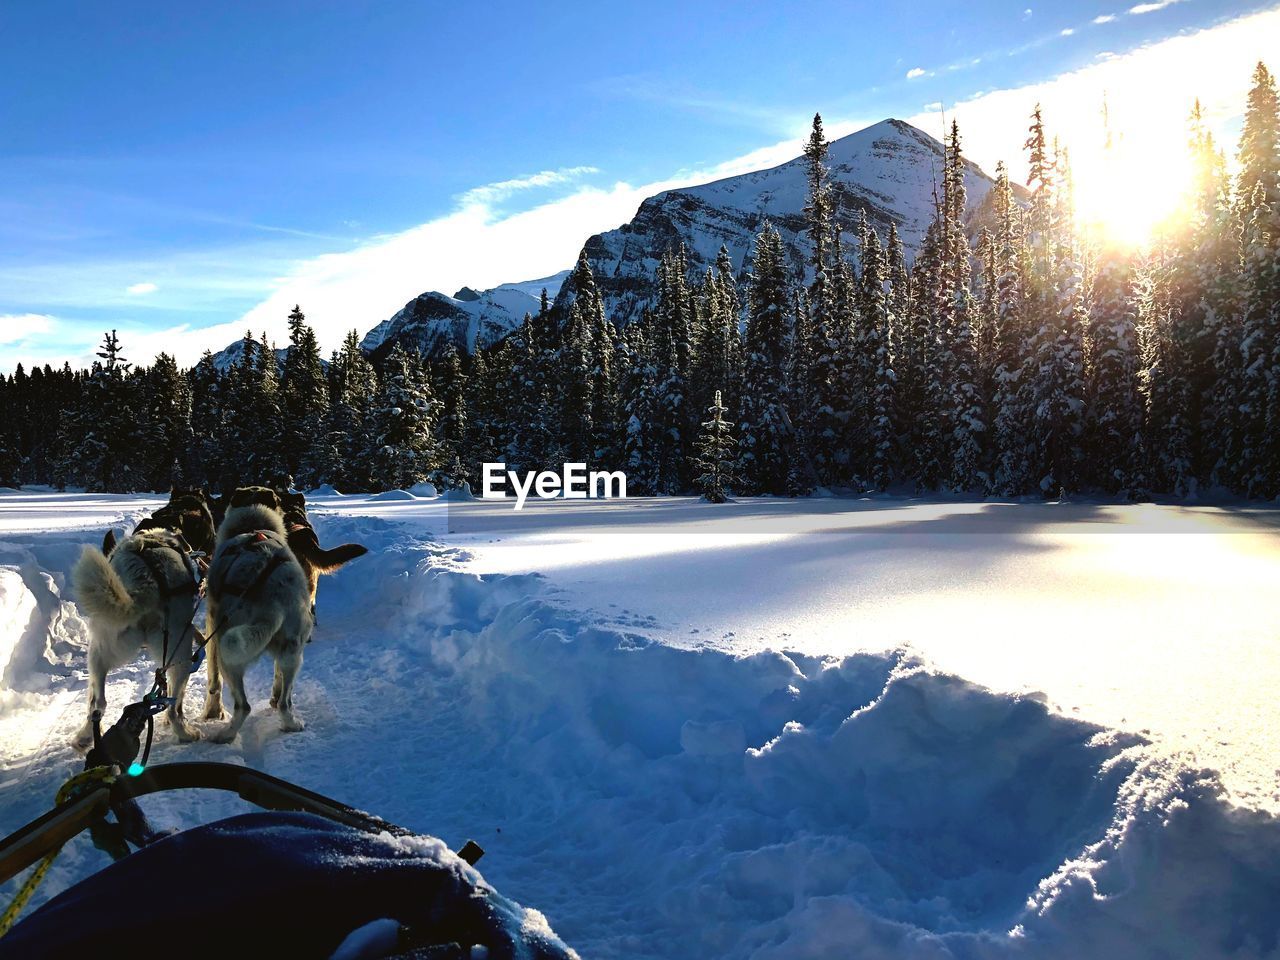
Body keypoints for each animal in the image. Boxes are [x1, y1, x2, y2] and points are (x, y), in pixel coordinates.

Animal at [71, 527, 202, 752]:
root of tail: (145, 580)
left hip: (98, 652)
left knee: (97, 703)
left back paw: (84, 737)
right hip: (182, 652)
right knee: (174, 705)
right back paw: (185, 732)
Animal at [204, 488, 317, 742]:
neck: (252, 527)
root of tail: (273, 599)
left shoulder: (212, 629)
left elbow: (213, 679)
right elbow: (277, 681)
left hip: (228, 652)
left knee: (243, 706)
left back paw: (225, 735)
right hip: (293, 652)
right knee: (285, 701)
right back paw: (291, 724)